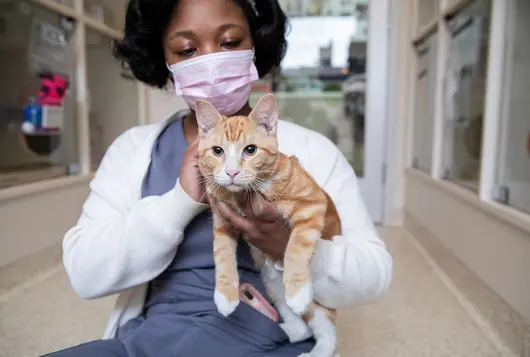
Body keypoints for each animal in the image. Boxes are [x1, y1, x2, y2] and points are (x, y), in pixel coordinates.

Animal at [196, 92, 340, 356]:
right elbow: (222, 255)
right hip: (272, 286)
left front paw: (298, 290)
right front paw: (225, 295)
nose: (231, 172)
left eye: (250, 150)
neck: (244, 194)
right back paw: (279, 330)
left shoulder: (313, 204)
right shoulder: (222, 221)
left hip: (316, 304)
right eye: (217, 151)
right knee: (301, 327)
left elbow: (296, 246)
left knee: (327, 332)